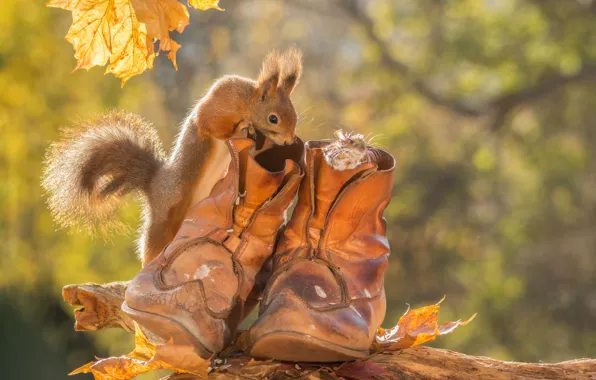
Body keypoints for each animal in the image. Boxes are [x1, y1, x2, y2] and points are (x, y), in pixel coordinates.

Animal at [42, 48, 302, 264]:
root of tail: (154, 183)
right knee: (153, 244)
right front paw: (243, 127)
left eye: (294, 115)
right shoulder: (218, 104)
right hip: (167, 214)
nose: (289, 141)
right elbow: (209, 124)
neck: (246, 101)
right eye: (273, 118)